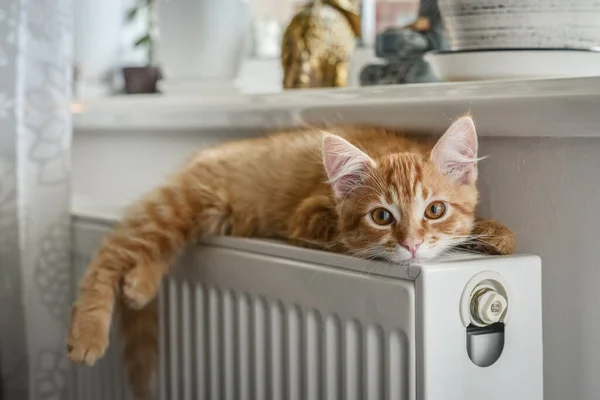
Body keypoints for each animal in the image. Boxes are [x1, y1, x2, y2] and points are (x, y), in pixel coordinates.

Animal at [67, 115, 516, 396]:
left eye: (435, 210)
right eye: (382, 216)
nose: (411, 244)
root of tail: (206, 155)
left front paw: (495, 233)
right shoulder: (311, 218)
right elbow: (347, 240)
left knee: (157, 246)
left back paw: (139, 284)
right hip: (179, 204)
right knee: (112, 250)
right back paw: (88, 332)